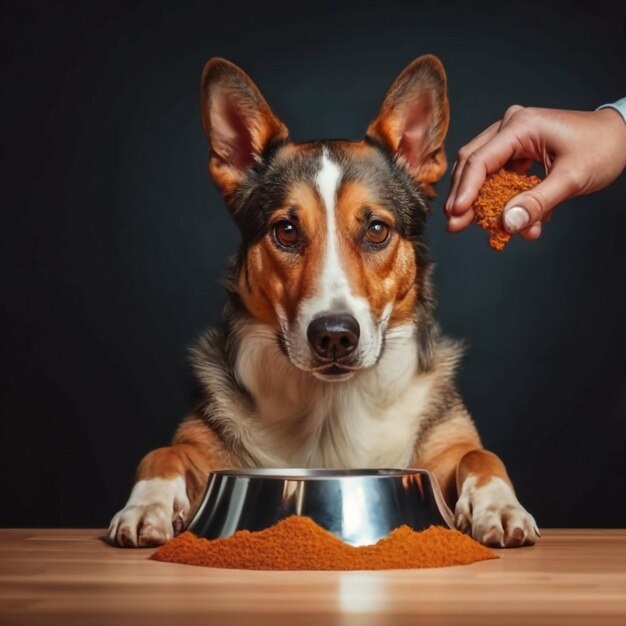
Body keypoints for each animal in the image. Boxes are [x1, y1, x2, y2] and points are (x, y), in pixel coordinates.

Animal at [106, 56, 536, 548]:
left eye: (376, 230)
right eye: (286, 231)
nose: (334, 337)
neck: (333, 405)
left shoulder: (450, 441)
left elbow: (482, 458)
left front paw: (500, 507)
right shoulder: (200, 439)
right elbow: (162, 452)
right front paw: (145, 506)